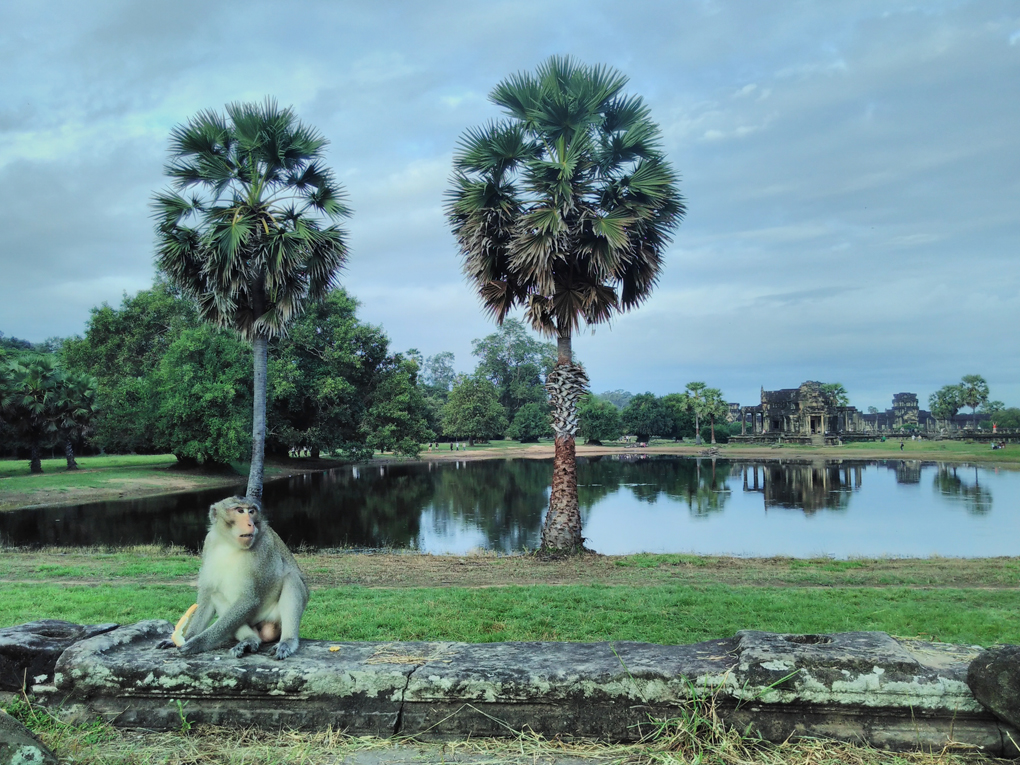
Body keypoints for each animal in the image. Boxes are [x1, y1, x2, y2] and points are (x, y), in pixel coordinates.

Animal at [157, 497, 308, 660]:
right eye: (240, 511)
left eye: (251, 511)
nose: (250, 524)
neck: (229, 543)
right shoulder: (209, 542)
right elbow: (207, 595)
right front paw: (187, 636)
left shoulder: (263, 548)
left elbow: (249, 599)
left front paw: (198, 642)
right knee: (216, 595)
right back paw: (250, 639)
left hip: (273, 618)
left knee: (292, 579)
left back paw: (287, 641)